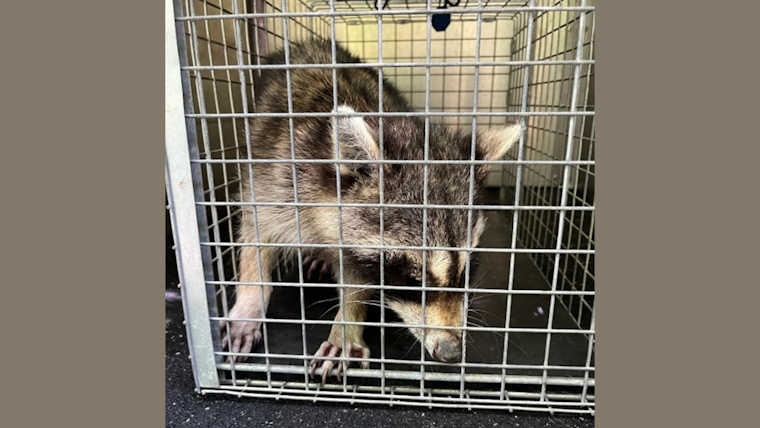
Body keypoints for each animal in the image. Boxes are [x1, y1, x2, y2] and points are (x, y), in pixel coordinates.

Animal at [221, 39, 520, 383]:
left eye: (466, 270)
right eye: (412, 279)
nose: (450, 352)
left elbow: (355, 283)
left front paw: (347, 325)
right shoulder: (273, 179)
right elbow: (255, 237)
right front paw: (250, 302)